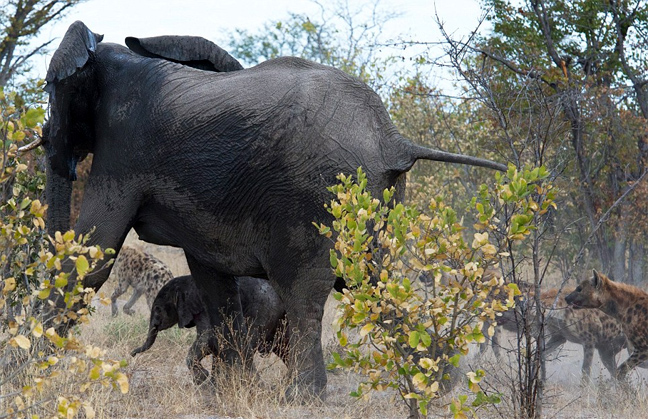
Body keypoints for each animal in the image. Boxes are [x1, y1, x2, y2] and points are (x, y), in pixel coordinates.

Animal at [130, 274, 288, 386]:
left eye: (157, 309)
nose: (131, 354)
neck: (186, 280)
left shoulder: (203, 309)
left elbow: (208, 338)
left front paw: (202, 380)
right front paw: (213, 383)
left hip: (263, 310)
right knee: (284, 346)